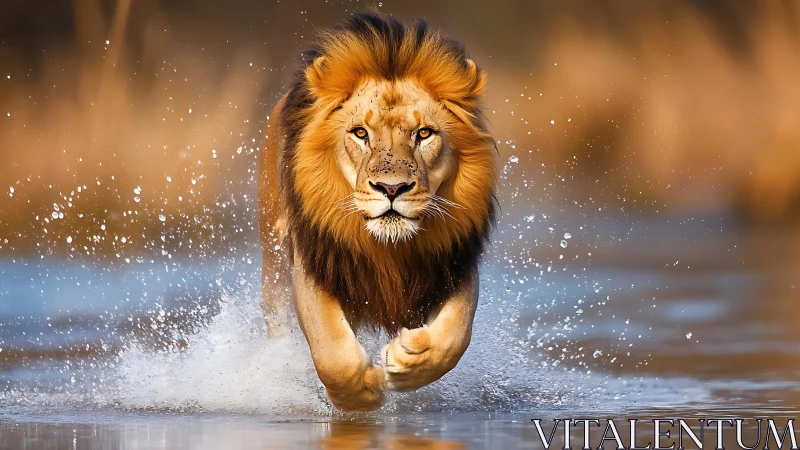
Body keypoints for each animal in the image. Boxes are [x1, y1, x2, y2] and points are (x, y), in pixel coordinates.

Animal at [258, 12, 497, 411]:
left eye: (424, 134)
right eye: (360, 133)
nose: (392, 189)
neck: (388, 249)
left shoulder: (454, 261)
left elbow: (455, 336)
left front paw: (409, 359)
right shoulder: (316, 263)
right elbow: (332, 353)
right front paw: (363, 392)